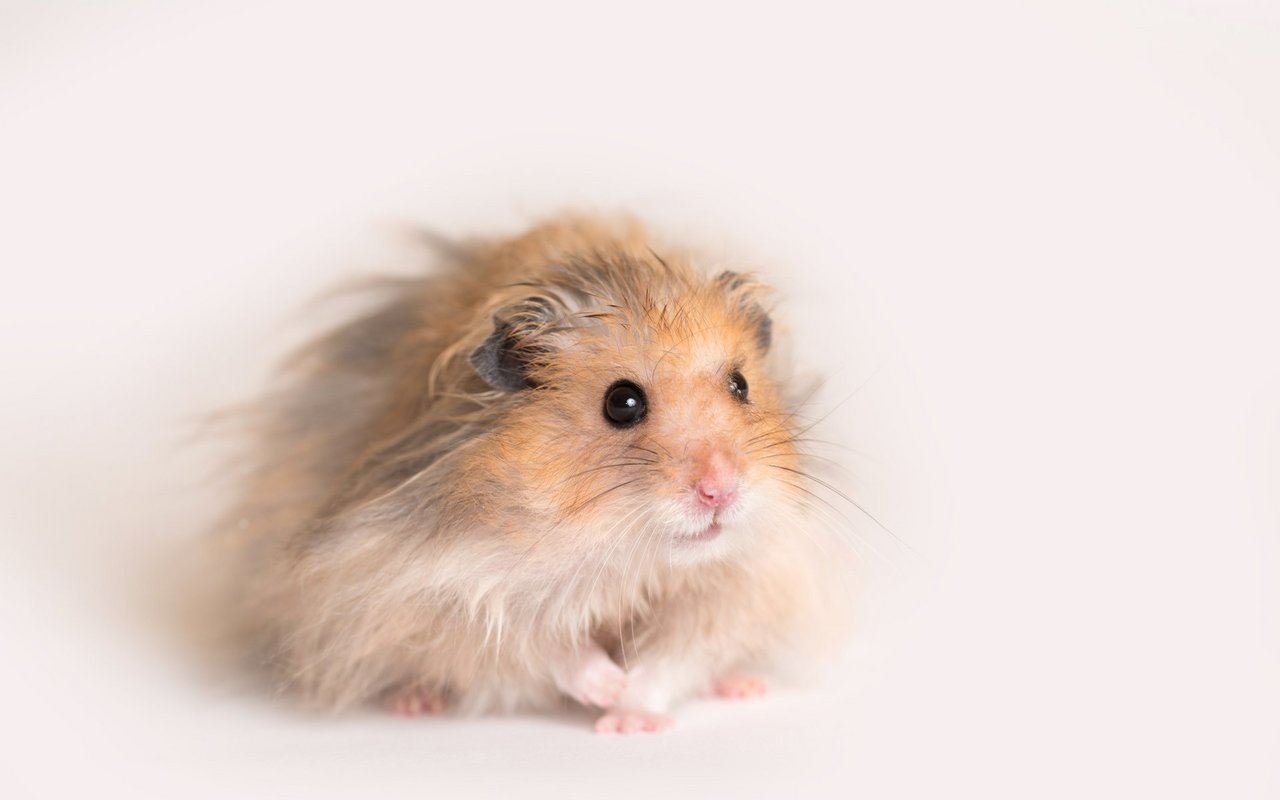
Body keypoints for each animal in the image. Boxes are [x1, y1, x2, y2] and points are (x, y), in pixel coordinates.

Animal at [222, 215, 848, 734]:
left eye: (740, 385)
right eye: (622, 403)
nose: (721, 491)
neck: (620, 552)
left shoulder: (738, 587)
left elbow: (673, 658)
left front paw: (629, 719)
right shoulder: (438, 592)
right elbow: (543, 649)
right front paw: (607, 689)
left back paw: (743, 685)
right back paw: (415, 701)